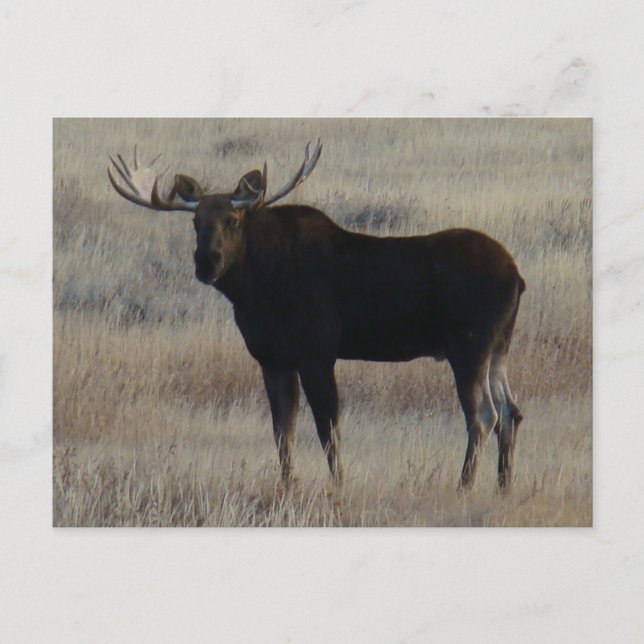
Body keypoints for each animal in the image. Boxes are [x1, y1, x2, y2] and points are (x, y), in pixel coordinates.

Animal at [108, 141, 525, 491]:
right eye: (195, 223)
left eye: (234, 221)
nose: (206, 262)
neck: (254, 288)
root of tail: (517, 278)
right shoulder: (272, 358)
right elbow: (283, 430)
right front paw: (287, 486)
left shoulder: (317, 352)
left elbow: (328, 428)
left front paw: (338, 485)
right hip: (499, 347)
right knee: (511, 411)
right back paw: (502, 487)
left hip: (469, 347)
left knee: (483, 415)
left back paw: (464, 486)